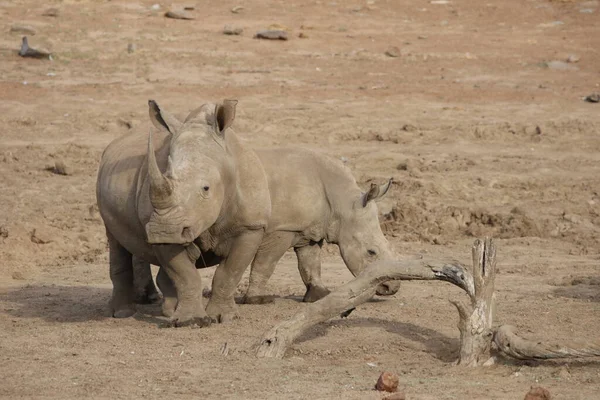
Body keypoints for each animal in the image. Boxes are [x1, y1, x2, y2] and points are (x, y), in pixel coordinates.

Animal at [97, 98, 270, 326]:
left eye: (206, 188)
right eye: (165, 177)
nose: (163, 231)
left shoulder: (251, 226)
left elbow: (229, 273)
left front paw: (223, 317)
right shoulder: (163, 227)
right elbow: (186, 275)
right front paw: (192, 320)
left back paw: (166, 310)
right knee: (117, 241)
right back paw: (123, 313)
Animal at [241, 148, 400, 304]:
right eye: (371, 252)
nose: (392, 288)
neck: (342, 203)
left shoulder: (310, 230)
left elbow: (311, 263)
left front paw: (320, 296)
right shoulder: (281, 228)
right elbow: (265, 263)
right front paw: (256, 299)